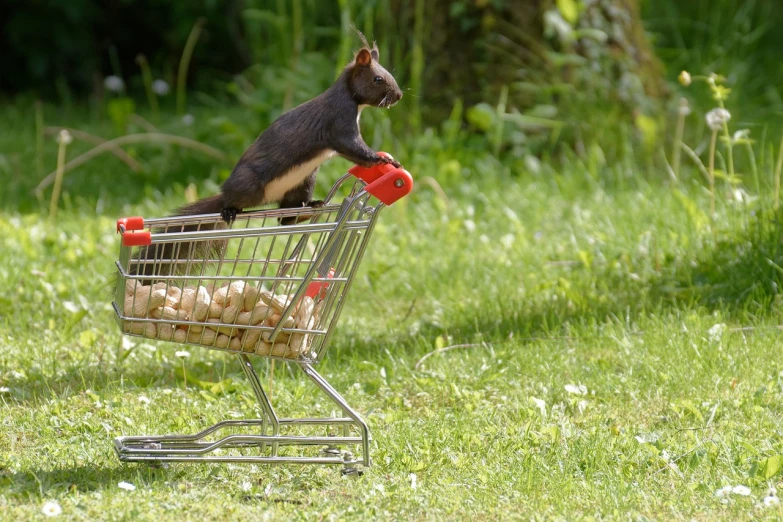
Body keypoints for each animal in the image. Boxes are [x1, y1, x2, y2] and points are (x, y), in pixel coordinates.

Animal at [129, 34, 404, 278]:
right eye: (378, 79)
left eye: (390, 75)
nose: (399, 95)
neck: (352, 101)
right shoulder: (339, 123)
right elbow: (354, 149)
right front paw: (384, 161)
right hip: (249, 184)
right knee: (247, 205)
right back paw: (230, 211)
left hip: (303, 183)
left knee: (285, 217)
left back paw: (312, 207)